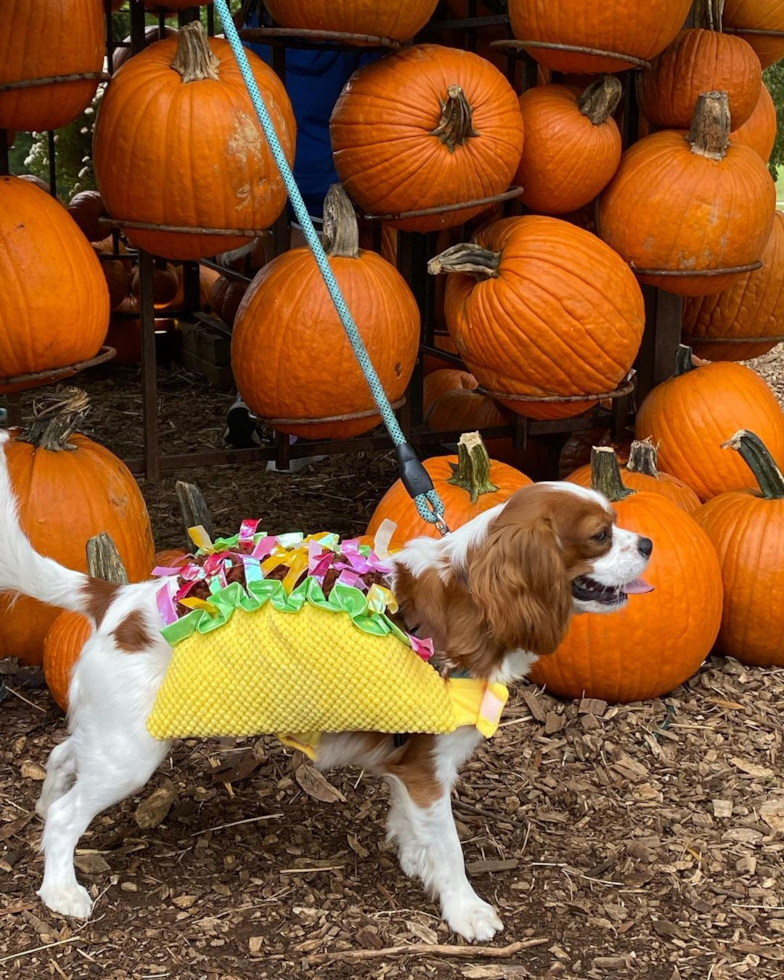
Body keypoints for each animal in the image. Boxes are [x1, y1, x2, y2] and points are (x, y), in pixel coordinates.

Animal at [0, 434, 652, 940]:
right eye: (600, 535)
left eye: (620, 527)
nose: (647, 543)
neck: (470, 598)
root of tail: (117, 596)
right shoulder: (429, 765)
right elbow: (449, 844)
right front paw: (465, 909)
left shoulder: (410, 760)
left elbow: (414, 824)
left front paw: (414, 861)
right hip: (132, 754)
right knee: (68, 815)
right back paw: (61, 890)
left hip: (113, 734)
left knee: (62, 758)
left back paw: (43, 806)